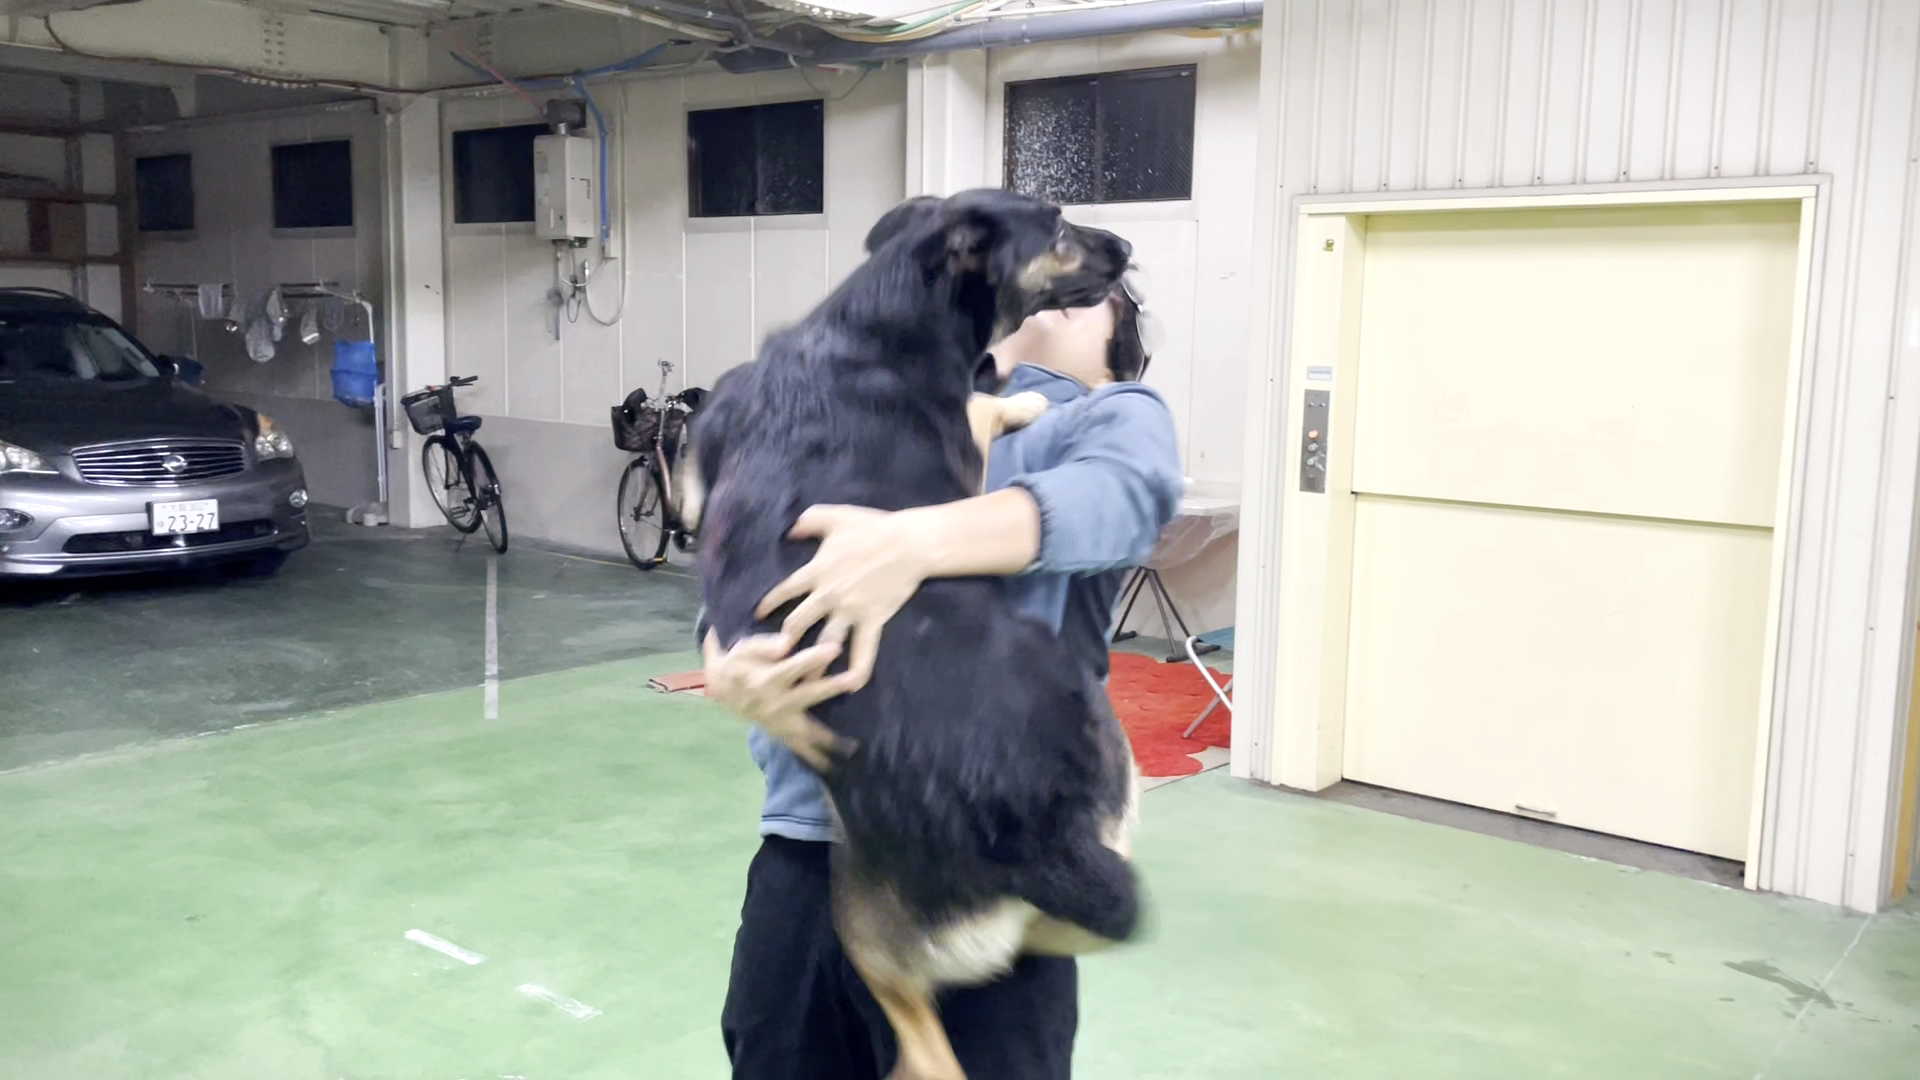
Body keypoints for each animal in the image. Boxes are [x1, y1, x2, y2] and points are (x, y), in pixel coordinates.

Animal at [684, 189, 1141, 1080]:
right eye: (1059, 228)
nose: (1128, 248)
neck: (873, 326)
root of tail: (1038, 837)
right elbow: (983, 403)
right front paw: (1024, 397)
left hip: (862, 913)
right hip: (1093, 754)